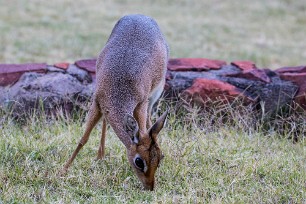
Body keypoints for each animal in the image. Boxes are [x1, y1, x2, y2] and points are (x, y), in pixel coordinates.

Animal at [61, 14, 169, 191]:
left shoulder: (141, 104)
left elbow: (143, 127)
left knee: (149, 121)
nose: (150, 187)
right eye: (139, 161)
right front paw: (63, 169)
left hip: (154, 96)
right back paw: (100, 156)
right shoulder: (97, 102)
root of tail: (140, 16)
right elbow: (83, 139)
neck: (120, 88)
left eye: (160, 157)